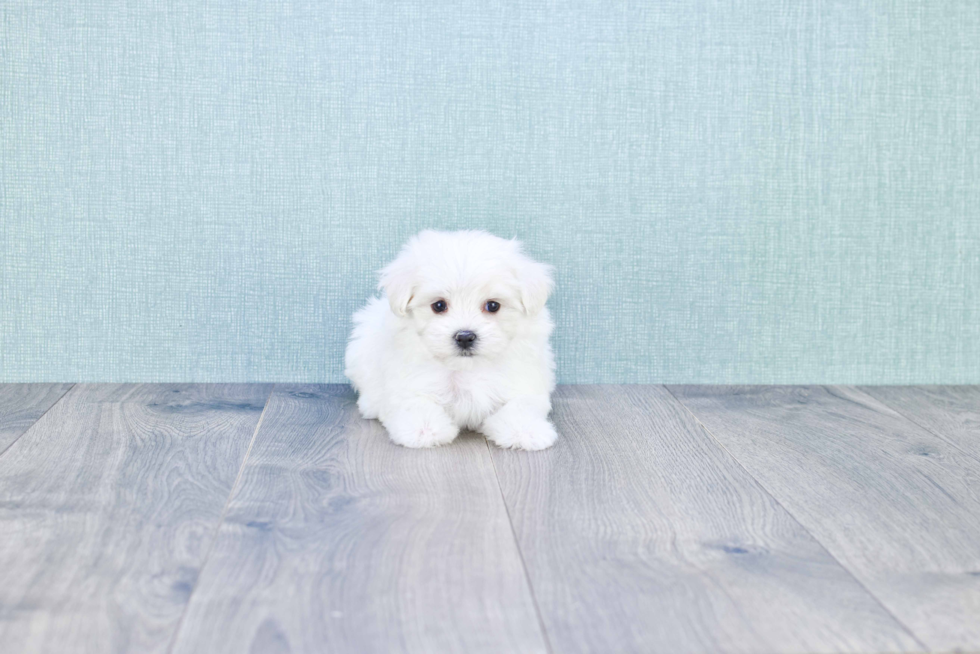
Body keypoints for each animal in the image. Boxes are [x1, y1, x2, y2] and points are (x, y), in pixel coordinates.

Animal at [344, 231, 560, 452]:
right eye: (439, 305)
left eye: (493, 305)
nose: (465, 336)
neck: (466, 368)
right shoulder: (409, 382)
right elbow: (416, 402)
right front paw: (423, 428)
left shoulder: (523, 379)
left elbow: (522, 404)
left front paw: (525, 430)